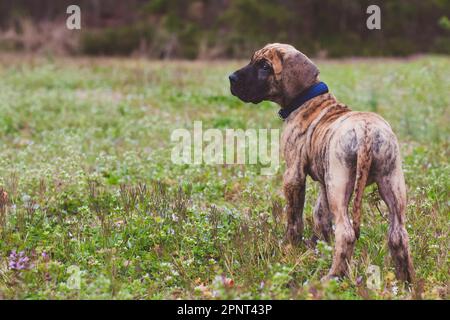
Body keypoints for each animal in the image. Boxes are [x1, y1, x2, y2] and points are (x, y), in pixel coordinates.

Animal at [230, 43, 416, 282]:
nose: (231, 78)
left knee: (346, 232)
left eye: (264, 66)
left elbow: (294, 217)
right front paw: (320, 247)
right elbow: (320, 215)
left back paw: (334, 277)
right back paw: (406, 281)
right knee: (398, 234)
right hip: (390, 182)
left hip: (340, 184)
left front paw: (290, 246)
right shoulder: (324, 184)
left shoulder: (294, 175)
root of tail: (365, 130)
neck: (307, 99)